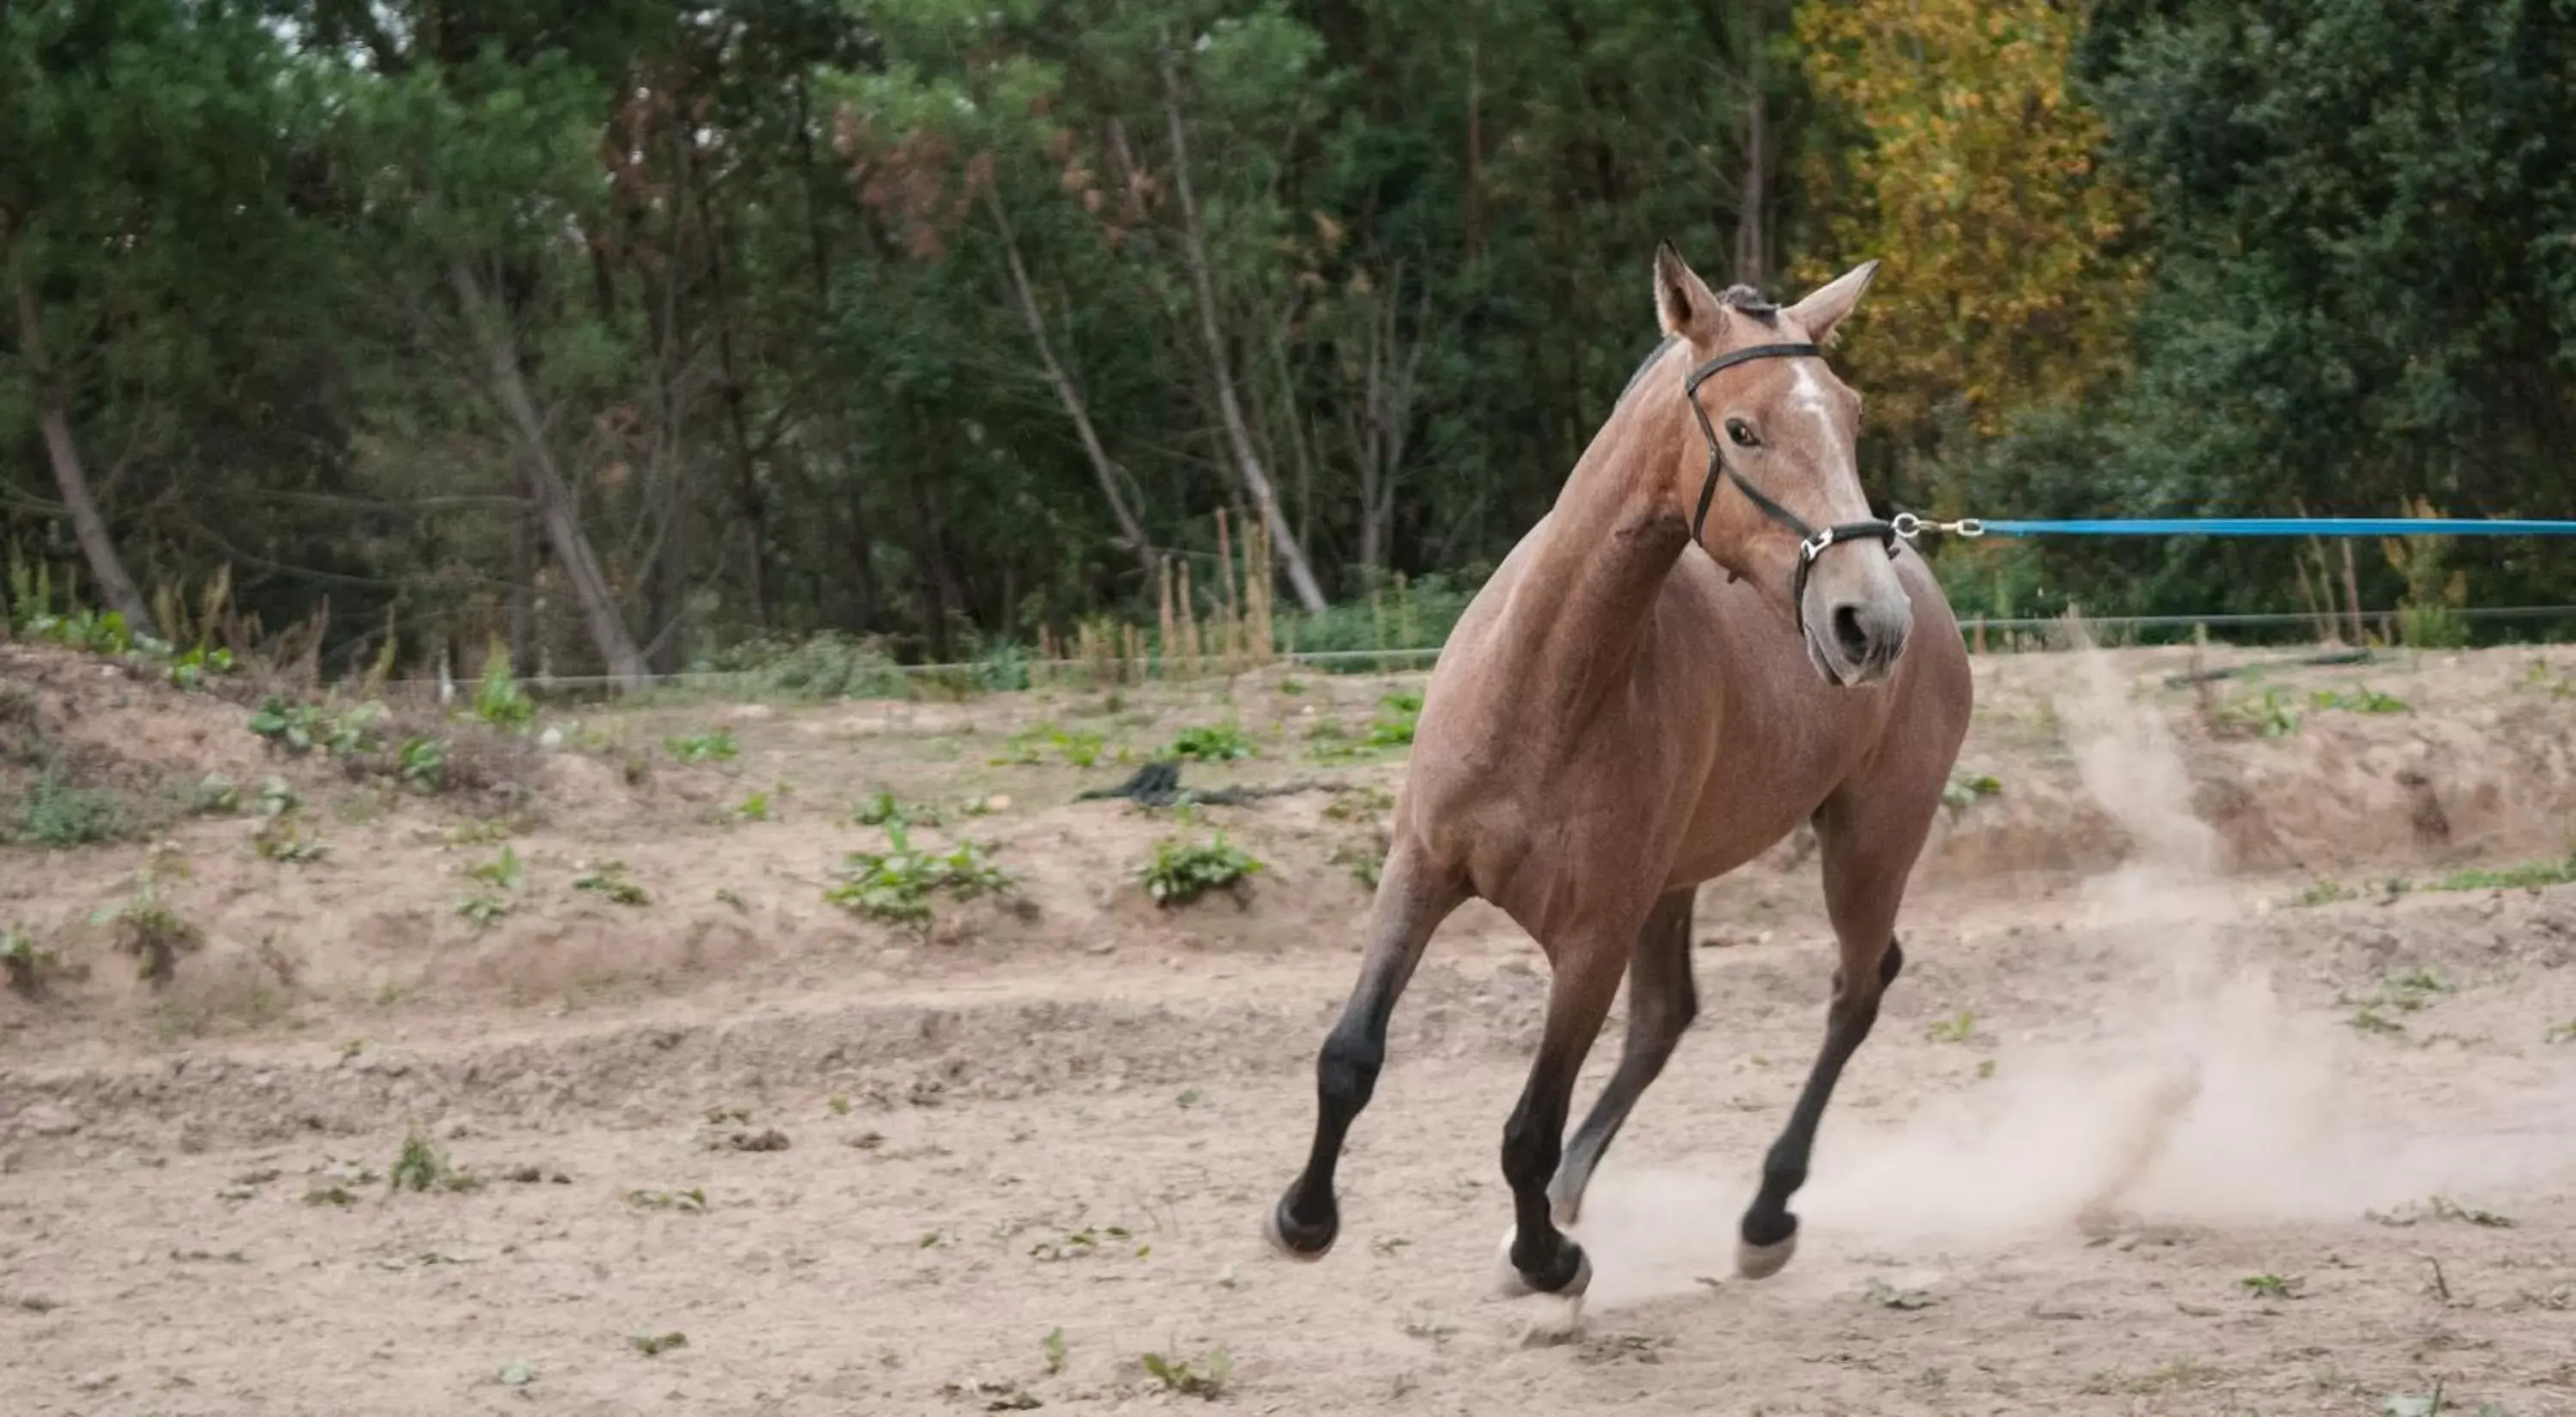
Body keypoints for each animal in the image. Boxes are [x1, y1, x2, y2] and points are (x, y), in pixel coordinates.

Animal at [1267, 242, 1968, 1298]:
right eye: (1742, 429)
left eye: (1849, 416)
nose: (1867, 625)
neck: (1545, 688)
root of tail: (1929, 594)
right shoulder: (1421, 870)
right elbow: (1349, 1056)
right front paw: (1305, 1219)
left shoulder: (1590, 939)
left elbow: (1527, 1126)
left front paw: (1551, 1262)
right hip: (1677, 882)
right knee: (1669, 1018)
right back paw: (1576, 1197)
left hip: (1868, 844)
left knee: (1856, 989)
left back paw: (1762, 1217)